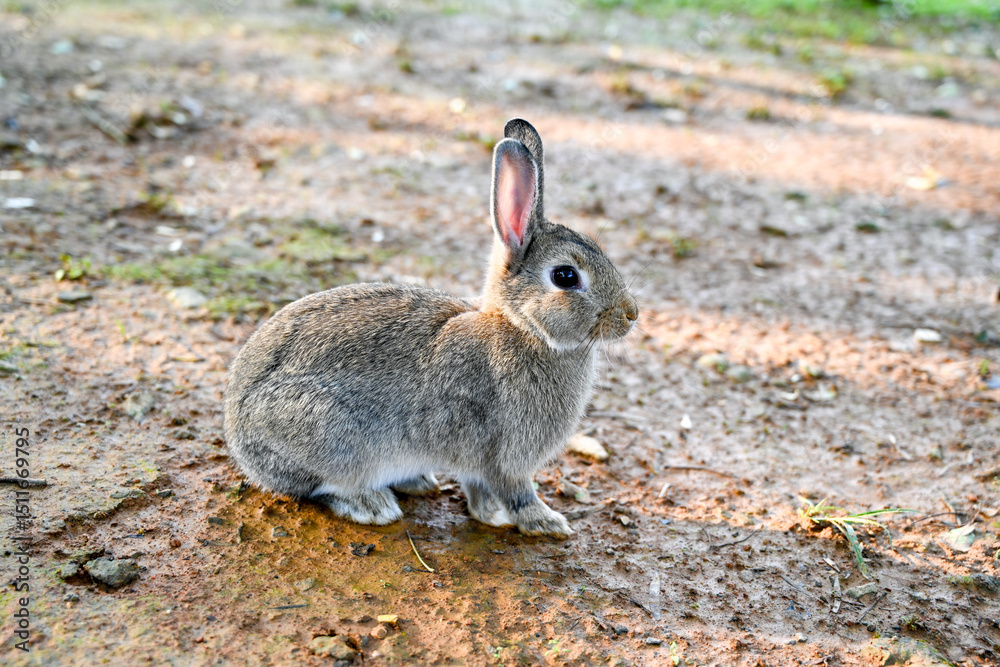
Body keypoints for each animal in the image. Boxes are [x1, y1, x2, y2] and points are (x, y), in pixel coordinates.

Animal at [224, 118, 638, 538]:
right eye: (565, 276)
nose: (631, 314)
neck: (523, 329)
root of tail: (238, 435)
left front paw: (491, 515)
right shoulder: (506, 457)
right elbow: (516, 493)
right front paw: (546, 522)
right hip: (331, 438)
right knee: (323, 488)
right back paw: (374, 505)